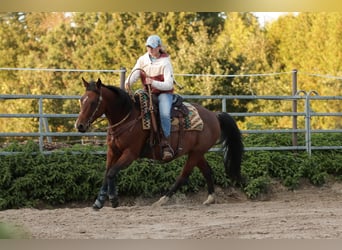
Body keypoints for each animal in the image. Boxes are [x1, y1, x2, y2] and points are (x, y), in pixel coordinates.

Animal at [75, 78, 243, 209]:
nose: (80, 125)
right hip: (197, 152)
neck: (128, 117)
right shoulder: (113, 151)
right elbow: (107, 172)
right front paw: (99, 201)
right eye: (81, 100)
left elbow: (112, 172)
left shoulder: (130, 153)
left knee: (183, 175)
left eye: (93, 102)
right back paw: (210, 199)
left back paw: (161, 201)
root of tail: (214, 115)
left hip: (195, 153)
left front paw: (114, 200)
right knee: (207, 171)